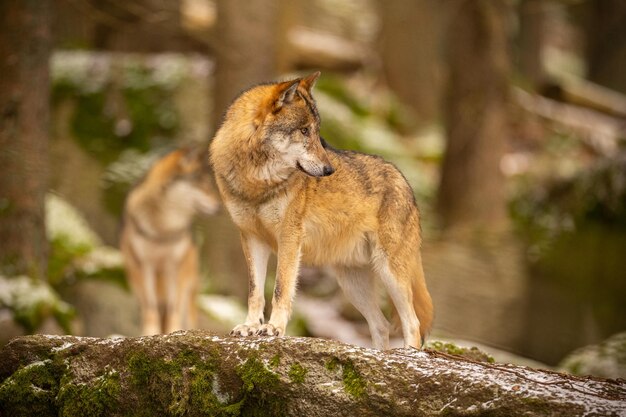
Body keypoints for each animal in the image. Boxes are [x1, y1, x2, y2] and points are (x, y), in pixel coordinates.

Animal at [119, 146, 219, 334]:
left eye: (209, 184)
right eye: (202, 184)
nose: (219, 208)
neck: (163, 229)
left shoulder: (174, 267)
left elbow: (174, 307)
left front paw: (174, 331)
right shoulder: (146, 266)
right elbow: (150, 307)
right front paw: (150, 333)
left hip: (188, 286)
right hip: (136, 280)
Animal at [208, 72, 428, 348]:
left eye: (316, 132)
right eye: (304, 131)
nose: (329, 170)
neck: (257, 182)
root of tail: (405, 181)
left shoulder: (289, 238)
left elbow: (281, 288)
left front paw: (273, 328)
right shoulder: (251, 238)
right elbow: (255, 291)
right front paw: (250, 327)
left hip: (390, 272)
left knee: (413, 323)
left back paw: (408, 355)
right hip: (352, 284)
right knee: (381, 325)